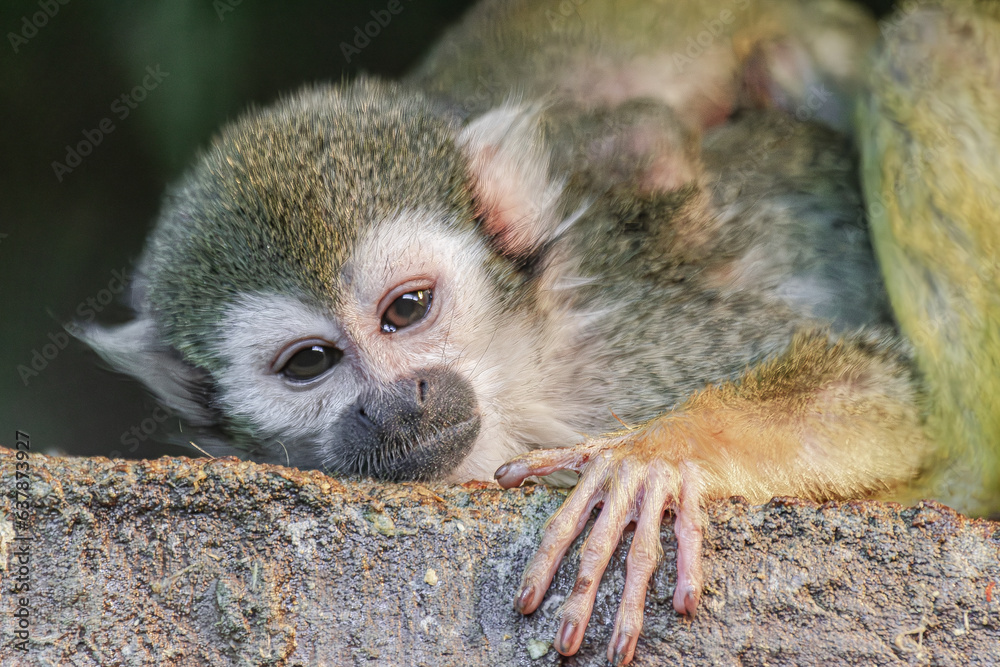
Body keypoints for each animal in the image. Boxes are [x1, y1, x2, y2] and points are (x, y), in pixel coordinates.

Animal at [72, 0, 997, 664]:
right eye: (310, 363)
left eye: (406, 310)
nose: (397, 402)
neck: (522, 381)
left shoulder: (633, 344)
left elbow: (875, 385)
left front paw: (664, 453)